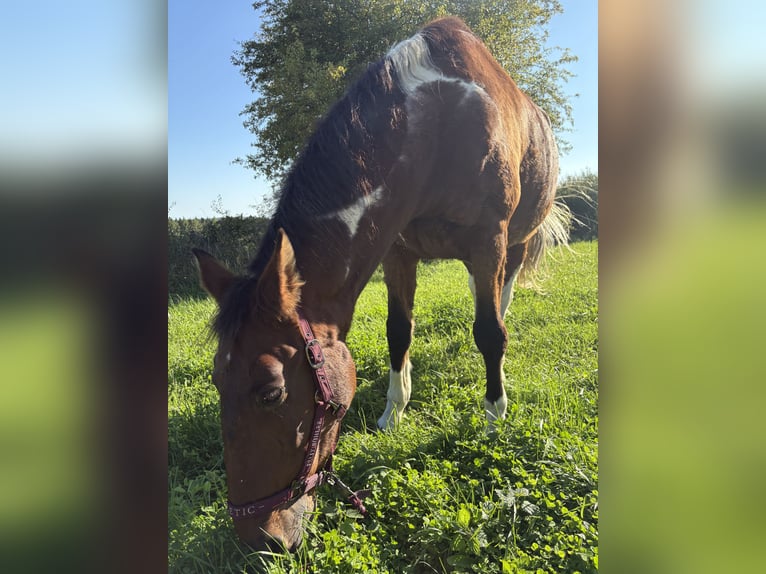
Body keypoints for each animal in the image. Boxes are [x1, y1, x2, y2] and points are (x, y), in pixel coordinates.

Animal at [193, 16, 566, 551]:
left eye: (270, 394)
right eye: (217, 381)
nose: (258, 538)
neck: (436, 124)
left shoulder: (488, 241)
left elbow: (490, 333)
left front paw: (494, 416)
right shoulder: (398, 252)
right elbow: (398, 332)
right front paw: (395, 411)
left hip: (515, 242)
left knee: (503, 297)